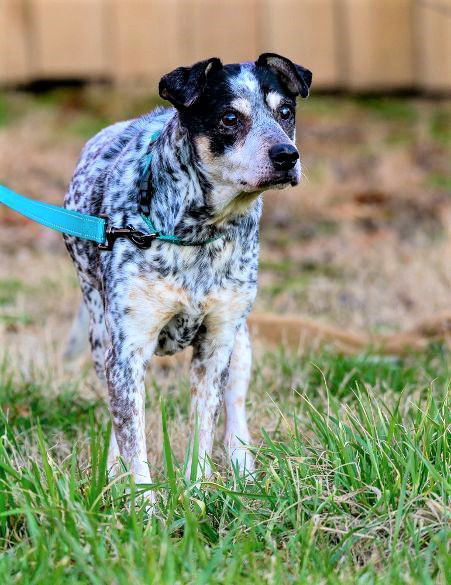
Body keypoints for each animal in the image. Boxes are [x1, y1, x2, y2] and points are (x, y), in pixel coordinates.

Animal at [62, 52, 310, 490]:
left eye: (286, 111)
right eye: (229, 118)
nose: (286, 155)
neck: (196, 234)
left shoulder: (216, 344)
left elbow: (204, 428)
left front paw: (199, 489)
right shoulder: (127, 350)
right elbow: (133, 441)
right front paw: (140, 499)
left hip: (241, 345)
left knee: (236, 408)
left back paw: (243, 469)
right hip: (98, 332)